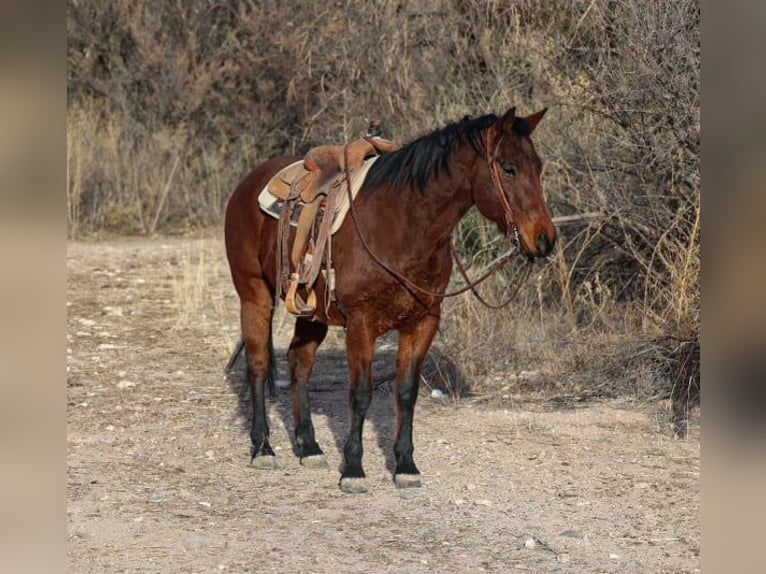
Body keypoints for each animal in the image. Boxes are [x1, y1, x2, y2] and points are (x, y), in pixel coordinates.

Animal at [224, 107, 557, 493]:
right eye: (508, 168)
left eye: (538, 167)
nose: (544, 239)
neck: (404, 225)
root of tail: (248, 183)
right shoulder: (361, 323)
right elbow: (360, 394)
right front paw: (353, 469)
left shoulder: (423, 322)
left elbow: (406, 392)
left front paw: (405, 465)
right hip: (254, 296)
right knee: (258, 365)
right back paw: (263, 448)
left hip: (312, 313)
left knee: (298, 364)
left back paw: (309, 447)